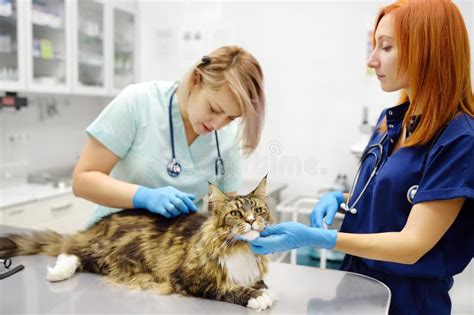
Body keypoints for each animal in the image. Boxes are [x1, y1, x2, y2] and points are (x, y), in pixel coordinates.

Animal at [0, 178, 274, 312]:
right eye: (236, 214)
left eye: (259, 211)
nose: (251, 221)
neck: (239, 248)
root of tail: (100, 224)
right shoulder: (187, 277)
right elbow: (225, 288)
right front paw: (256, 297)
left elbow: (258, 282)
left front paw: (262, 289)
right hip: (109, 254)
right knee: (72, 251)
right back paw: (58, 272)